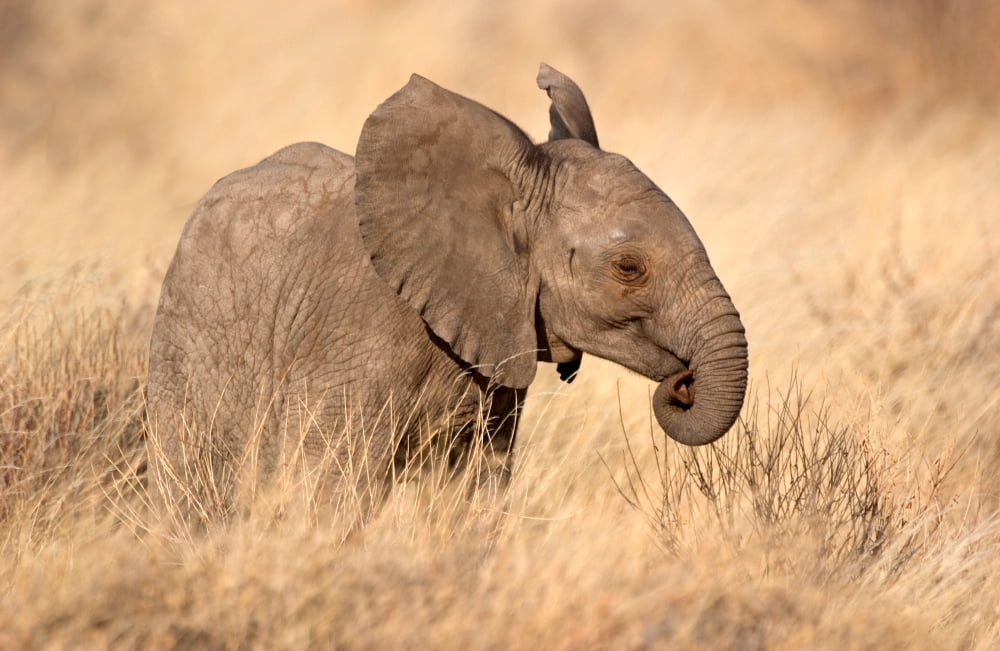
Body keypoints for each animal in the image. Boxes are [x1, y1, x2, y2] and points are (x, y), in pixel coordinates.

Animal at [145, 63, 748, 524]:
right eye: (629, 269)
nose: (684, 383)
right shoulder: (361, 335)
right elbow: (329, 485)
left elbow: (474, 489)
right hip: (187, 346)